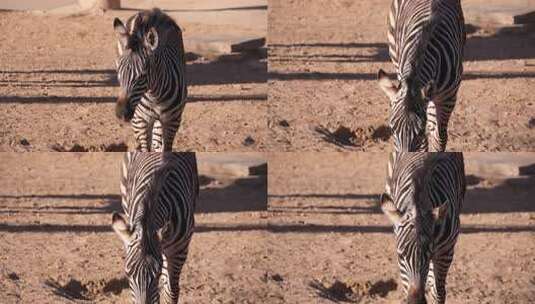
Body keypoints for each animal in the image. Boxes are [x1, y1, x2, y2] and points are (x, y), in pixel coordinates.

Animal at [113, 8, 188, 152]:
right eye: (119, 73)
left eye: (142, 75)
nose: (121, 113)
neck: (155, 97)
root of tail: (151, 11)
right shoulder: (140, 121)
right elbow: (145, 151)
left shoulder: (173, 121)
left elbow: (165, 150)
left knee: (157, 143)